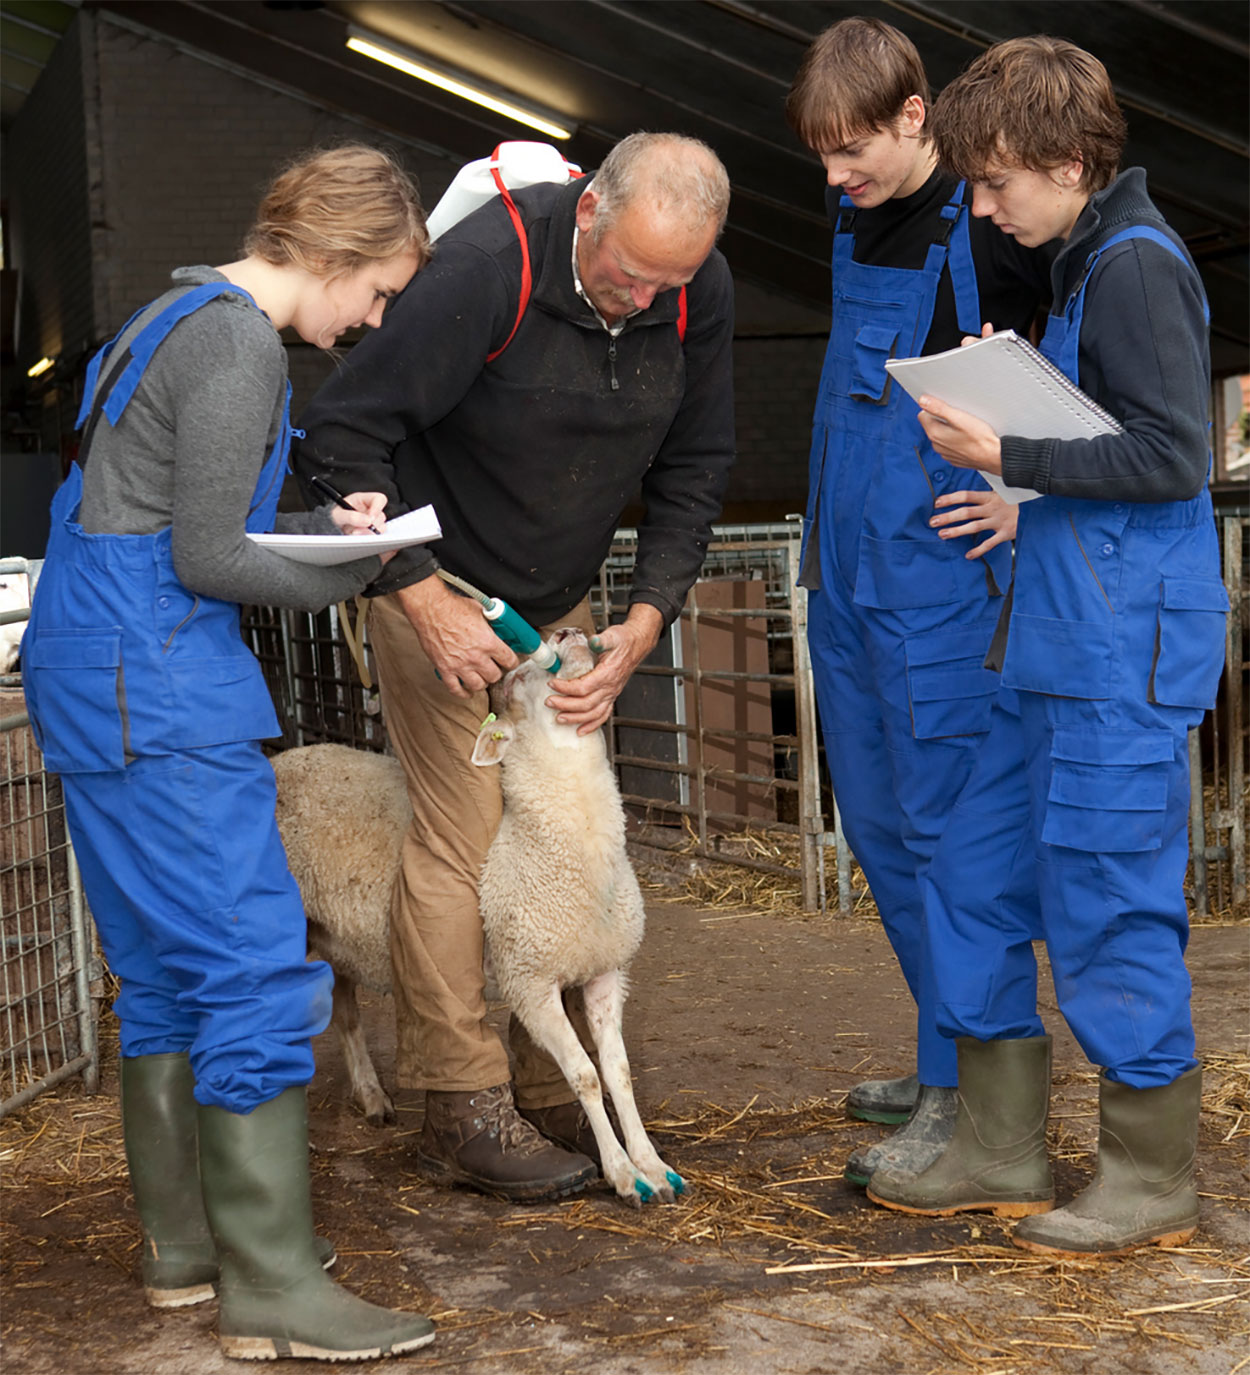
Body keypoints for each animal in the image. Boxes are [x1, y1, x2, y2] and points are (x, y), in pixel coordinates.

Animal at [270, 629, 682, 1210]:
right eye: (516, 677)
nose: (567, 633)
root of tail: (287, 757)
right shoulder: (528, 978)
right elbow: (584, 1075)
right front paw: (622, 1173)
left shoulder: (606, 971)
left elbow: (619, 1073)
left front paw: (652, 1165)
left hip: (333, 935)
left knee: (345, 1011)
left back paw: (371, 1096)